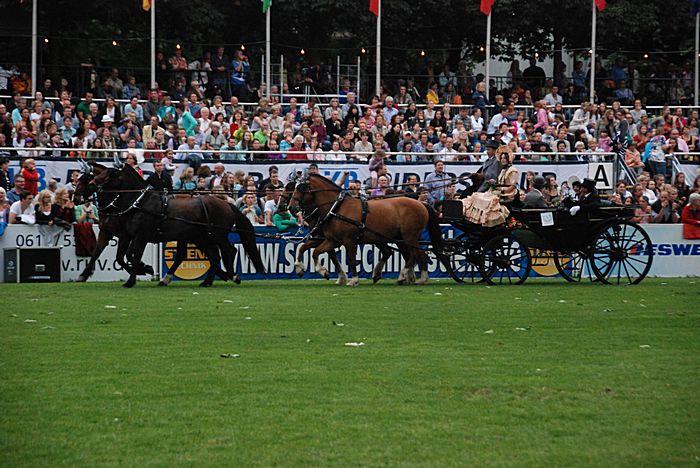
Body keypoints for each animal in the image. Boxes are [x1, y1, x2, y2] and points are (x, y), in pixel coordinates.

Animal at [85, 158, 264, 287]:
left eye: (111, 173)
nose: (92, 184)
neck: (140, 202)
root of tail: (226, 204)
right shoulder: (130, 234)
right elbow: (125, 256)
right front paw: (144, 270)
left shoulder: (141, 235)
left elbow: (133, 257)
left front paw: (132, 279)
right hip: (201, 236)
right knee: (213, 255)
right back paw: (206, 281)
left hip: (216, 235)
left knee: (229, 251)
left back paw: (232, 275)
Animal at [284, 174, 451, 286]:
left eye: (300, 189)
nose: (291, 208)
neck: (336, 208)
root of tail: (421, 203)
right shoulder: (332, 240)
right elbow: (309, 249)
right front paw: (310, 269)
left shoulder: (349, 241)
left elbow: (351, 259)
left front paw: (353, 280)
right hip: (399, 238)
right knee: (414, 254)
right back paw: (418, 278)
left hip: (409, 236)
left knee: (415, 254)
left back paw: (404, 275)